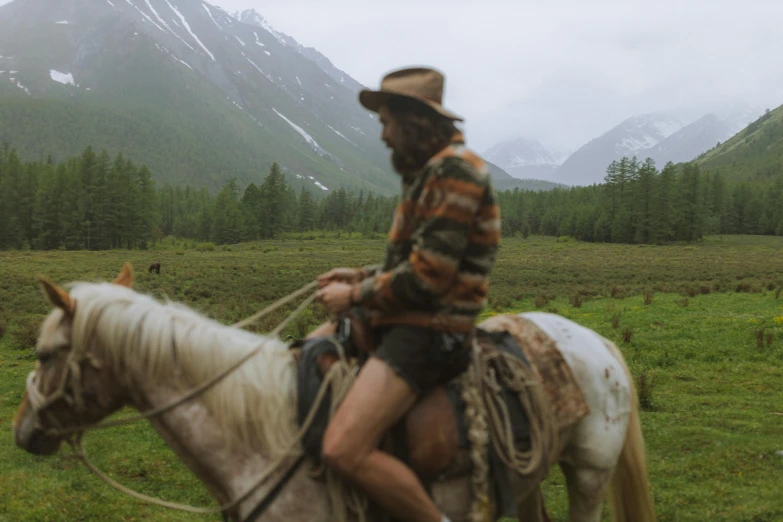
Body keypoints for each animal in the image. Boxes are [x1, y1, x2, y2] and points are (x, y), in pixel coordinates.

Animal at [13, 262, 656, 520]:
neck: (258, 437)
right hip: (525, 477)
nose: (21, 430)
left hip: (589, 473)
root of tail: (599, 342)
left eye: (45, 355)